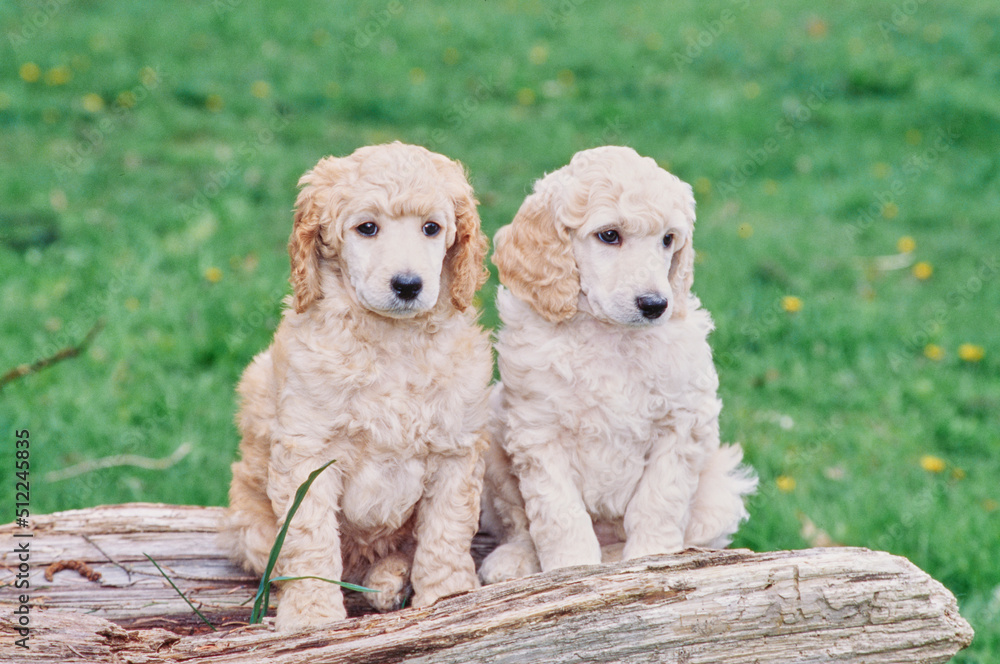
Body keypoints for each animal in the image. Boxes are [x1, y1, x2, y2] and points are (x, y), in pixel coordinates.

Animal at [225, 143, 494, 632]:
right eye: (367, 228)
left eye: (432, 228)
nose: (408, 285)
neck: (392, 341)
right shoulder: (308, 452)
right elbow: (309, 538)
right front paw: (311, 615)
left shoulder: (455, 450)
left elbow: (445, 531)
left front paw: (448, 597)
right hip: (246, 526)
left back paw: (390, 579)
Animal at [480, 144, 752, 580]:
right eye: (609, 235)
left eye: (668, 239)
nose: (655, 305)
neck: (611, 335)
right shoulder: (538, 430)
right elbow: (559, 513)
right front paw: (571, 571)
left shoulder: (682, 423)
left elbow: (658, 502)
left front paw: (649, 561)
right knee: (517, 522)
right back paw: (517, 558)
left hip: (719, 489)